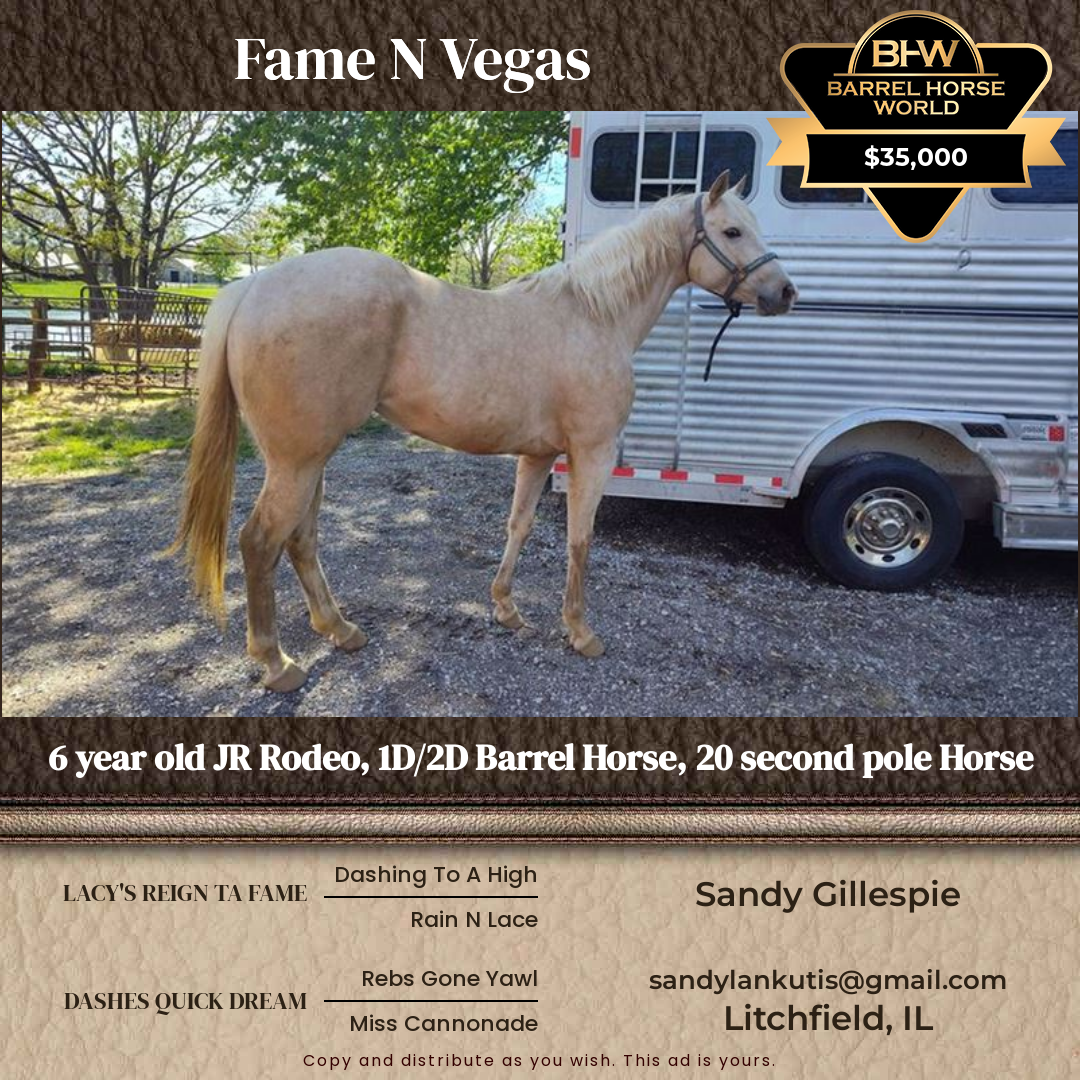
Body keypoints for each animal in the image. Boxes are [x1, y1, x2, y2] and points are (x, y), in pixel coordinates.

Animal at [171, 170, 797, 691]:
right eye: (732, 230)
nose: (785, 292)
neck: (596, 316)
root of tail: (252, 288)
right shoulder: (591, 453)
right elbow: (580, 539)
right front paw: (580, 631)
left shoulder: (539, 455)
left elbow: (519, 525)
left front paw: (506, 609)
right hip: (297, 460)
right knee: (260, 542)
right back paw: (276, 662)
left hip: (310, 458)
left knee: (300, 539)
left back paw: (340, 629)